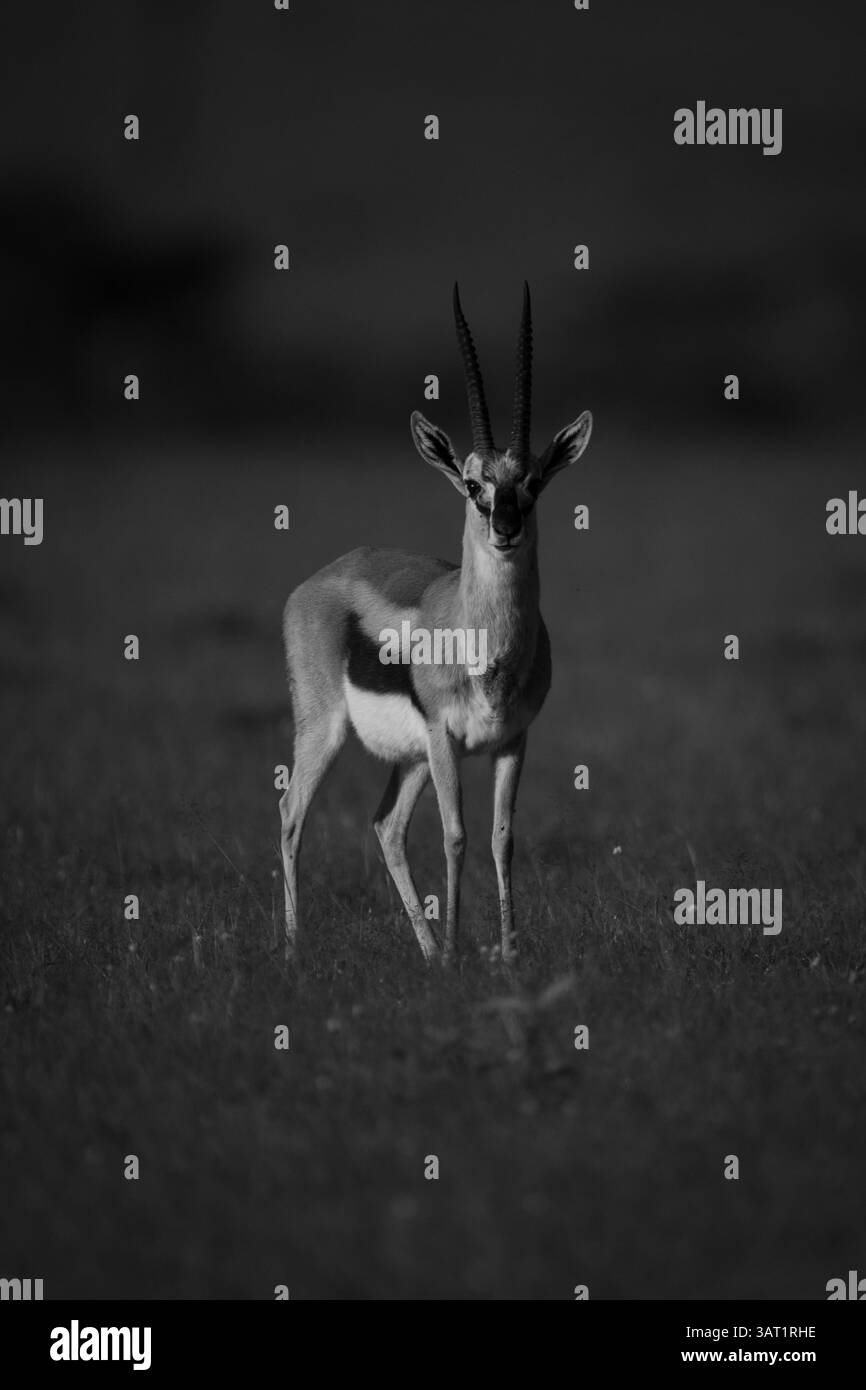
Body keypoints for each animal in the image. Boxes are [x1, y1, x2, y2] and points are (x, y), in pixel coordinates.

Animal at [280, 284, 592, 963]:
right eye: (474, 484)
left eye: (532, 483)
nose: (505, 528)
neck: (486, 643)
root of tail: (319, 579)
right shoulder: (447, 740)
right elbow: (455, 835)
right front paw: (456, 953)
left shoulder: (513, 741)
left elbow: (501, 837)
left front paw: (506, 953)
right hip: (330, 732)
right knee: (291, 814)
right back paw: (294, 950)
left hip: (412, 759)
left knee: (386, 826)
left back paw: (423, 952)